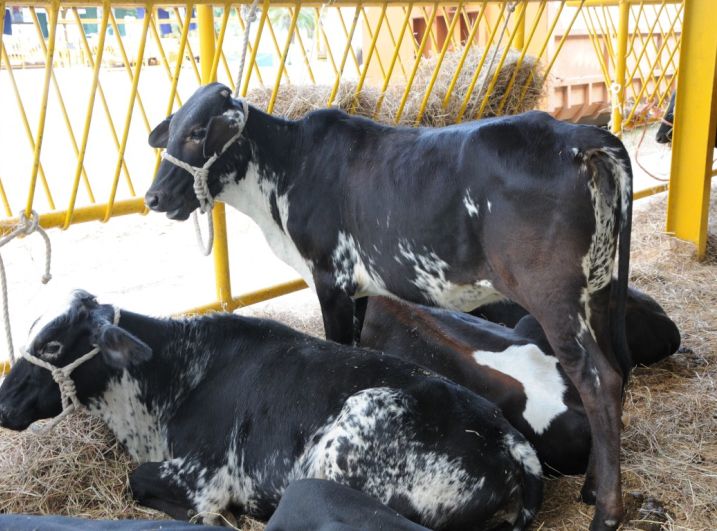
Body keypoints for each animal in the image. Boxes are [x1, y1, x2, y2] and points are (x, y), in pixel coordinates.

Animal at [144, 83, 632, 531]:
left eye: (198, 131)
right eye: (171, 129)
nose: (153, 197)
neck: (288, 168)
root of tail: (581, 136)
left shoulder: (331, 280)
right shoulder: (359, 289)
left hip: (554, 299)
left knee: (600, 381)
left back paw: (606, 513)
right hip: (598, 289)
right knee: (616, 371)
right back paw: (593, 489)